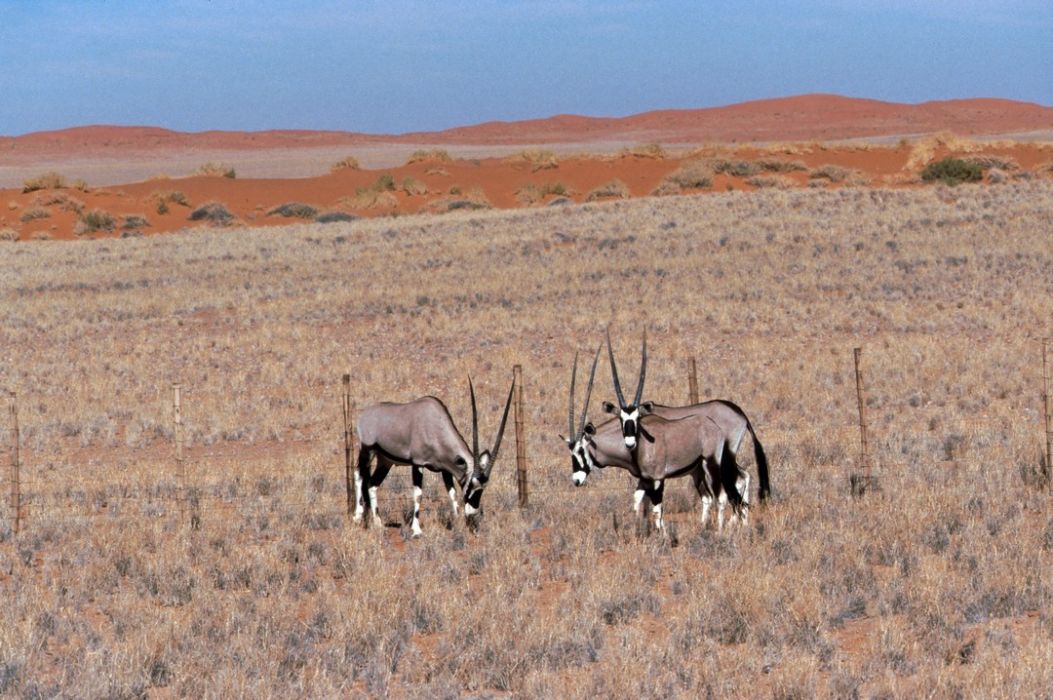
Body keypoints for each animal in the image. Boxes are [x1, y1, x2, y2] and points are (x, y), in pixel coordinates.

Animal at [355, 376, 515, 534]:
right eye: (471, 485)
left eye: (483, 488)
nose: (472, 513)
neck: (435, 427)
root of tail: (364, 414)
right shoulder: (418, 463)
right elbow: (418, 494)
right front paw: (416, 529)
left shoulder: (445, 469)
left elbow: (452, 494)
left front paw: (457, 524)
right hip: (367, 450)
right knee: (359, 476)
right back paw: (357, 517)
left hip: (385, 460)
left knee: (372, 484)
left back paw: (378, 523)